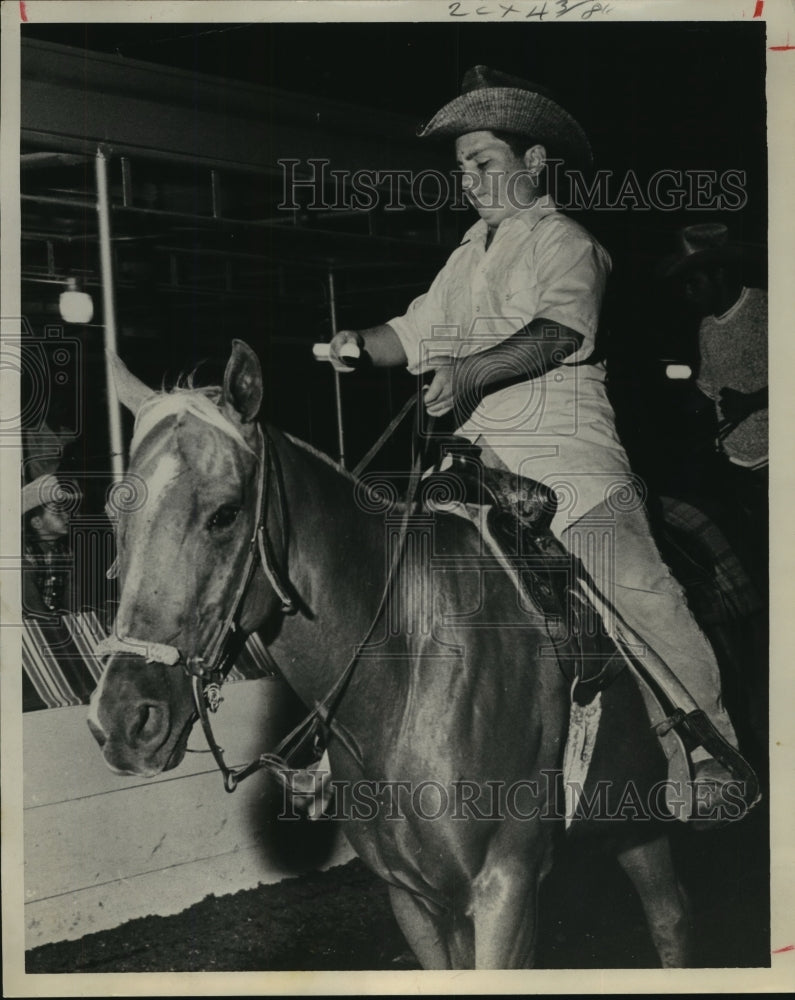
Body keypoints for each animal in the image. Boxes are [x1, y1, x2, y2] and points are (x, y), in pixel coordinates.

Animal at [88, 342, 692, 968]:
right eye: (115, 514)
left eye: (225, 513)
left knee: (670, 922)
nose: (123, 720)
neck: (406, 678)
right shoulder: (416, 900)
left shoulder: (507, 889)